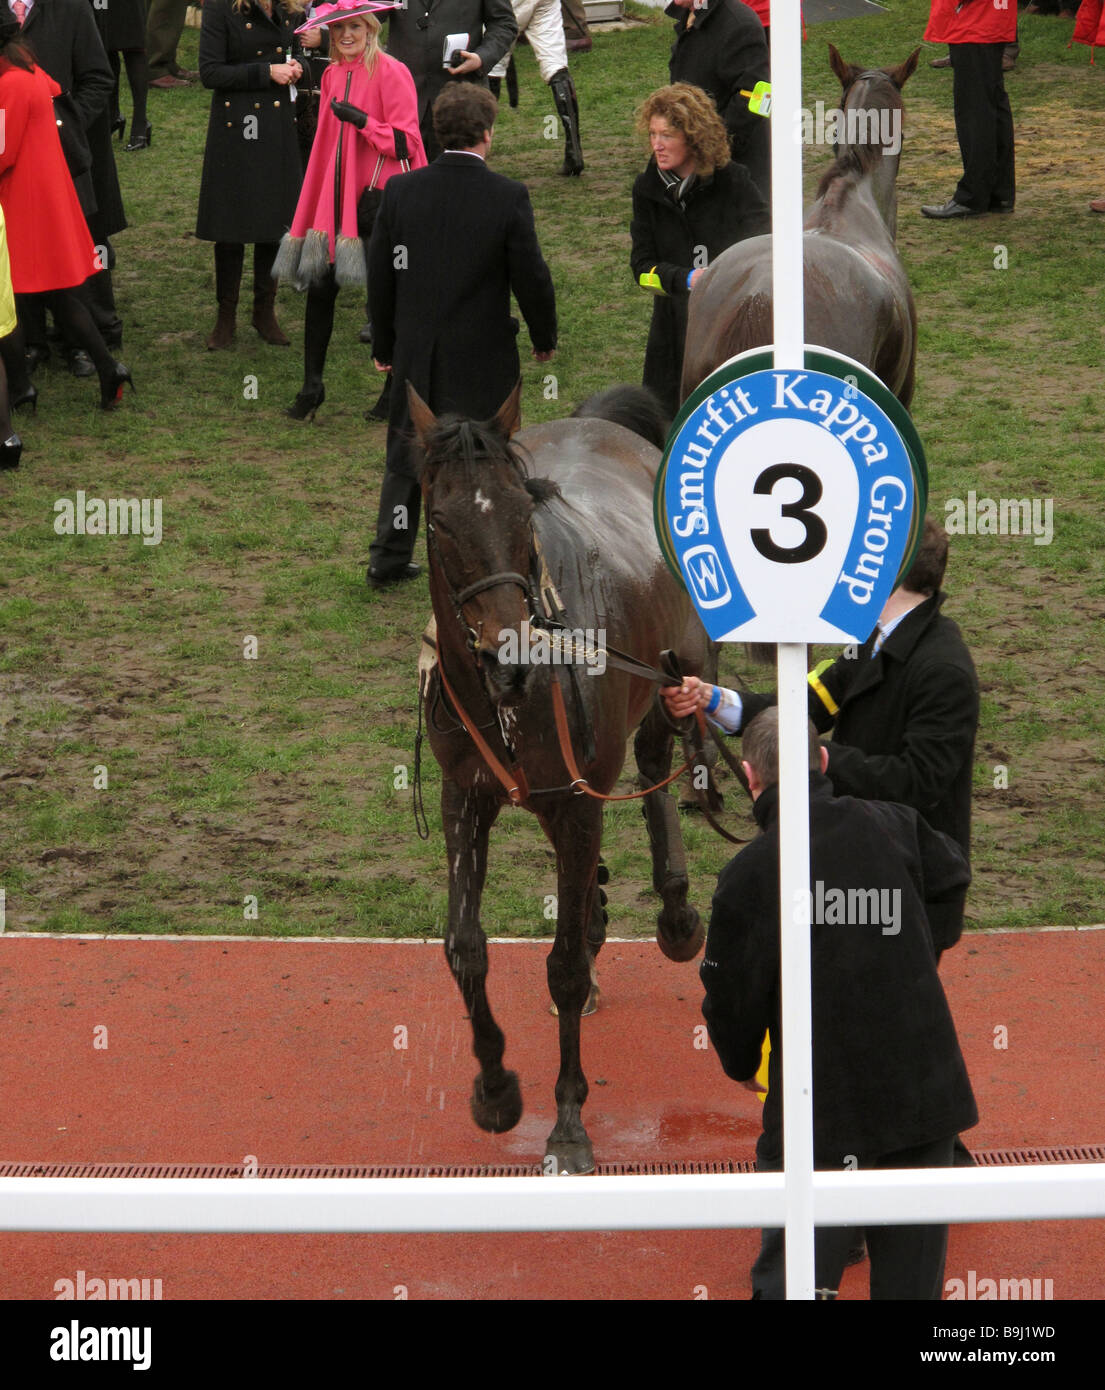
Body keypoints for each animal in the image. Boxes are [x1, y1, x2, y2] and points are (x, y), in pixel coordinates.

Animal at [411, 380, 708, 1173]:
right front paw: (494, 1089)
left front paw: (569, 1123)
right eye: (438, 521)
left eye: (523, 512)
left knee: (659, 762)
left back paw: (675, 912)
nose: (509, 657)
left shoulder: (577, 804)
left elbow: (565, 964)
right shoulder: (466, 797)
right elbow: (464, 947)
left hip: (679, 674)